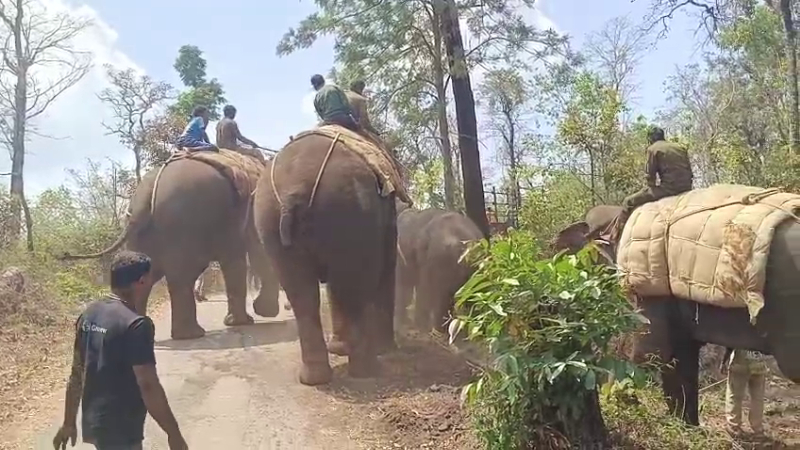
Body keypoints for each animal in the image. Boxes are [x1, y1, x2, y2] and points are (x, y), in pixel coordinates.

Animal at [61, 156, 281, 340]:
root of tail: (143, 197)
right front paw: (252, 317)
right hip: (181, 223)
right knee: (182, 276)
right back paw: (190, 335)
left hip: (147, 233)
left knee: (149, 278)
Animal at [253, 133, 398, 386]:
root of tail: (293, 192)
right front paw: (386, 350)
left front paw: (339, 349)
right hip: (348, 212)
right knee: (353, 289)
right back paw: (367, 369)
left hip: (269, 222)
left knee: (302, 293)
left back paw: (314, 378)